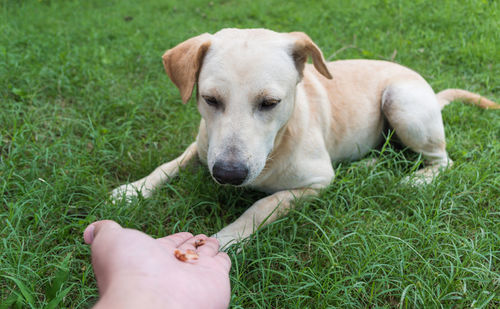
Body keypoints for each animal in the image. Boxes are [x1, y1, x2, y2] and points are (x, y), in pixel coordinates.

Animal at [111, 27, 498, 247]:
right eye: (210, 99)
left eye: (270, 103)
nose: (227, 175)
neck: (279, 142)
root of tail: (428, 90)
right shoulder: (205, 146)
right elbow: (170, 164)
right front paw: (134, 190)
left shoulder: (314, 183)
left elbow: (261, 206)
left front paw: (223, 240)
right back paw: (367, 166)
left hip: (402, 103)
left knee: (442, 159)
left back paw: (417, 180)